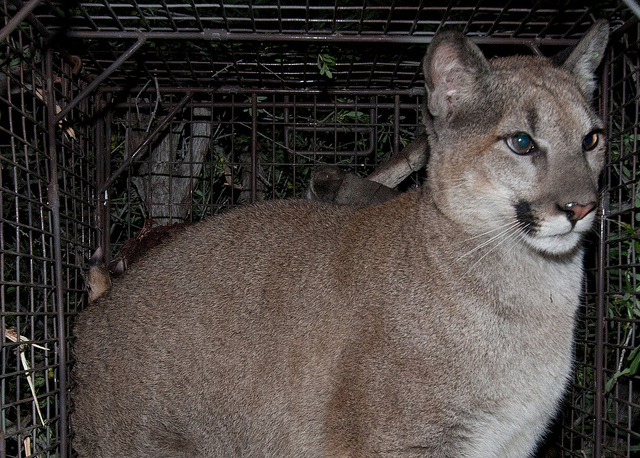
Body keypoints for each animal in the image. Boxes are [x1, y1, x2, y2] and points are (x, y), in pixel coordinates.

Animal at [71, 20, 608, 458]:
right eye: (521, 142)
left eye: (592, 139)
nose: (583, 206)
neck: (536, 287)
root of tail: (92, 318)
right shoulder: (397, 442)